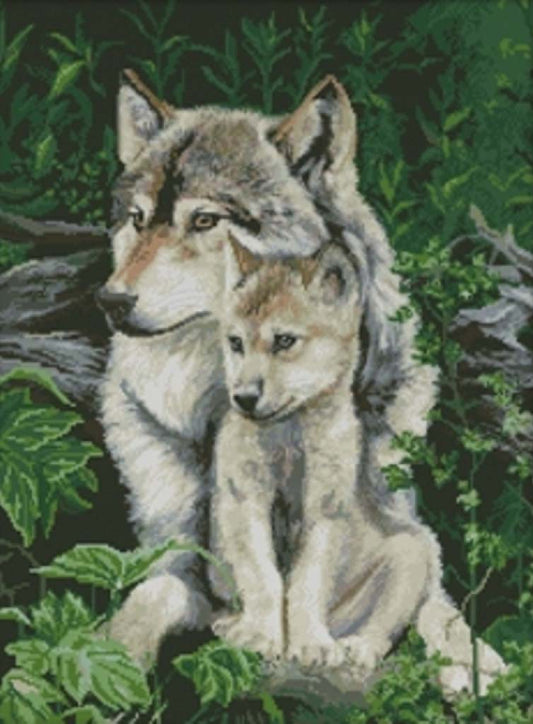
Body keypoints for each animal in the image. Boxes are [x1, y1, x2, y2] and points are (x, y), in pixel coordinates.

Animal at [98, 69, 506, 693]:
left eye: (205, 220)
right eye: (138, 220)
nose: (110, 300)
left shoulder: (387, 521)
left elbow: (440, 609)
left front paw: (476, 666)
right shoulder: (177, 555)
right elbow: (153, 595)